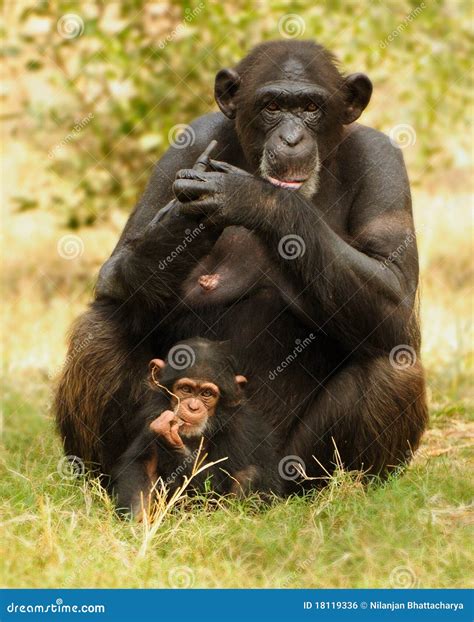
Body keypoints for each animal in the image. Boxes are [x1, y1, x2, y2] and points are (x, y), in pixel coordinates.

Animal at [53, 40, 428, 492]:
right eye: (271, 105)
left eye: (310, 107)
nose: (291, 137)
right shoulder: (187, 144)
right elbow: (116, 273)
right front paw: (182, 223)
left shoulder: (382, 159)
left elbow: (394, 289)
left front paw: (250, 198)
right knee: (102, 330)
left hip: (287, 467)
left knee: (394, 358)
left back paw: (349, 487)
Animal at [111, 338, 282, 520]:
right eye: (186, 389)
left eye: (207, 393)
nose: (193, 407)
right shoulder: (152, 418)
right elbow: (142, 466)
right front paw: (136, 521)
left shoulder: (240, 430)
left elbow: (216, 483)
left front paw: (169, 440)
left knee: (250, 474)